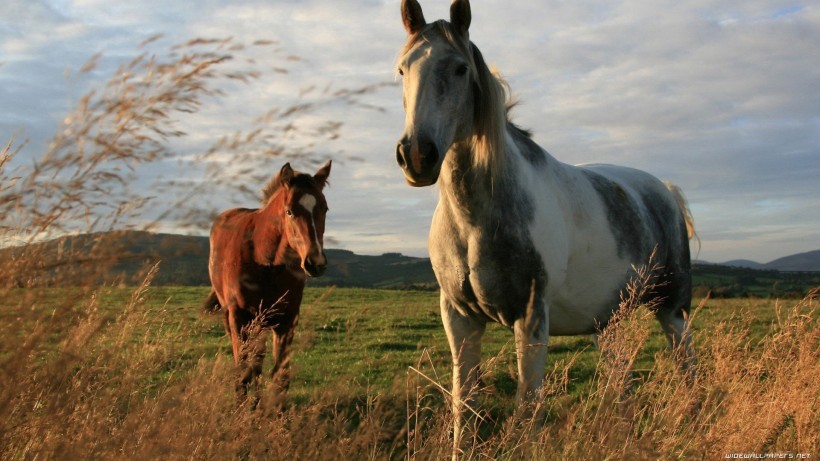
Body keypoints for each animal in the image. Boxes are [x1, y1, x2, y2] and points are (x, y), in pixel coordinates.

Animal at [394, 0, 696, 452]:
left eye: (461, 68)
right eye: (402, 69)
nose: (416, 155)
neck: (475, 221)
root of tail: (665, 190)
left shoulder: (532, 318)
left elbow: (527, 410)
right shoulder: (459, 318)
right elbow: (464, 407)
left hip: (672, 309)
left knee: (686, 368)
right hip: (608, 323)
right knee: (622, 381)